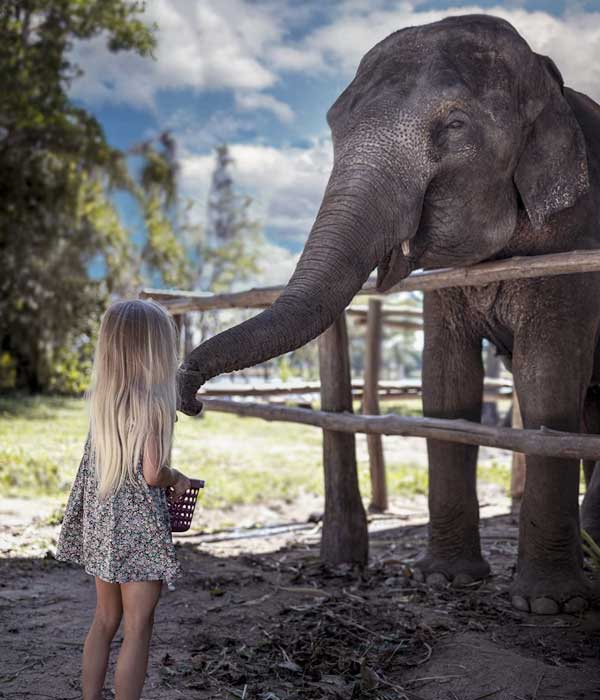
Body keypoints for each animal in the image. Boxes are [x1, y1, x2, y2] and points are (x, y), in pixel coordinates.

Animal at [178, 15, 600, 614]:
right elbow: (446, 386)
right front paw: (444, 580)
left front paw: (547, 606)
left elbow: (546, 381)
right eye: (333, 125)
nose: (190, 398)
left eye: (455, 125)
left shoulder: (575, 243)